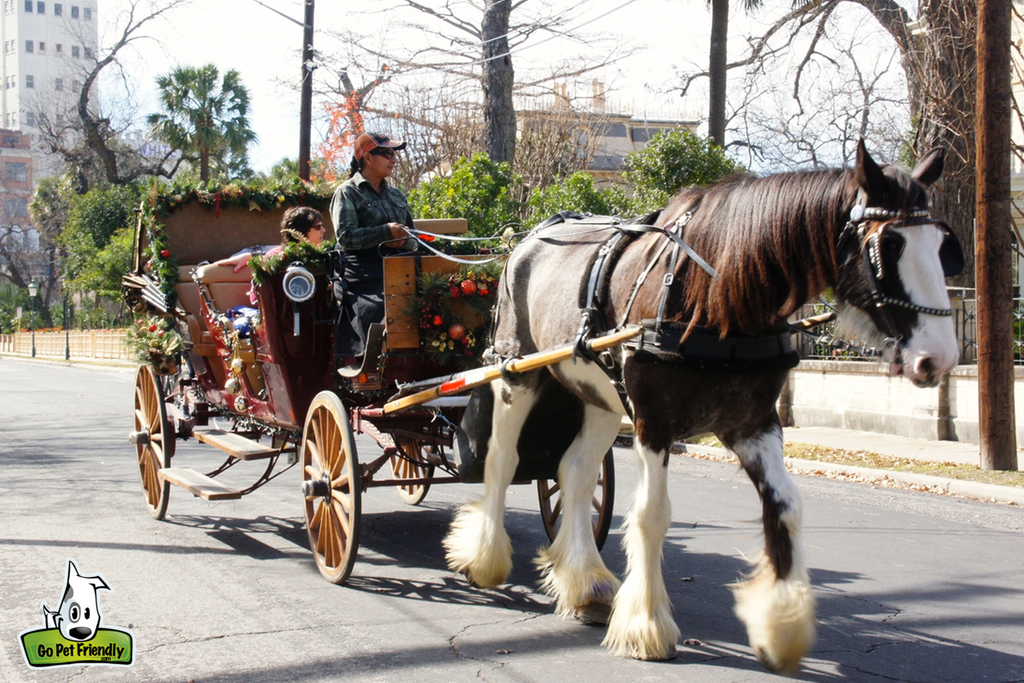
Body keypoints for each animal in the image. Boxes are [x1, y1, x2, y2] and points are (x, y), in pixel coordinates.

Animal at [442, 140, 962, 674]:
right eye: (889, 246)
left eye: (943, 246)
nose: (940, 357)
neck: (717, 298)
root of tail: (525, 241)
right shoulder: (654, 422)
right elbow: (651, 515)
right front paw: (647, 627)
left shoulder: (755, 423)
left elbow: (785, 507)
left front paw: (782, 626)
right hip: (517, 376)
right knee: (503, 463)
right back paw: (486, 558)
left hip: (600, 398)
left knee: (575, 473)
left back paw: (586, 583)